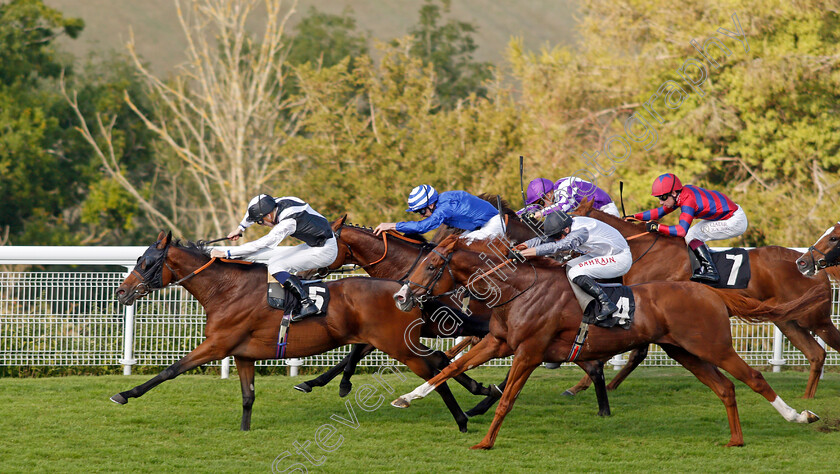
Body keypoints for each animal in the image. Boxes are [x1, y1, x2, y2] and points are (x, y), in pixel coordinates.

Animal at [111, 231, 480, 432]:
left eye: (146, 262)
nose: (121, 292)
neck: (226, 289)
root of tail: (405, 290)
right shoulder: (243, 353)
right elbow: (248, 396)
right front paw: (244, 430)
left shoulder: (218, 345)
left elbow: (171, 370)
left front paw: (125, 394)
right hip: (400, 343)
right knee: (441, 361)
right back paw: (479, 394)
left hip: (398, 346)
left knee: (435, 369)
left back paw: (462, 418)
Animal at [390, 237, 824, 448]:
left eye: (432, 265)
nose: (401, 297)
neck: (518, 289)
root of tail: (711, 292)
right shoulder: (499, 342)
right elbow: (450, 367)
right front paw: (406, 398)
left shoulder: (529, 351)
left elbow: (507, 399)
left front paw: (484, 442)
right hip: (684, 351)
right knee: (725, 388)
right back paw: (735, 440)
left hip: (713, 346)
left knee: (754, 379)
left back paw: (800, 416)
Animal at [560, 198, 840, 398]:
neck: (645, 252)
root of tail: (810, 263)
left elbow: (630, 352)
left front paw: (582, 385)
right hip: (788, 320)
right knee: (816, 354)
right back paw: (806, 399)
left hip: (817, 320)